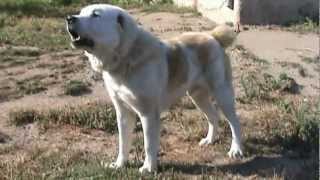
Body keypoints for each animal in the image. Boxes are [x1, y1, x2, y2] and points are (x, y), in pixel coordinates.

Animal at [67, 3, 242, 173]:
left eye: (95, 14)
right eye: (81, 12)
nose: (69, 18)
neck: (126, 56)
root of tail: (213, 37)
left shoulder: (148, 114)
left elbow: (148, 145)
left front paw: (148, 168)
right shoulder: (123, 113)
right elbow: (123, 143)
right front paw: (119, 165)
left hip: (222, 93)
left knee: (234, 122)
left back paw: (236, 149)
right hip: (197, 96)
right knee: (213, 117)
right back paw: (209, 140)